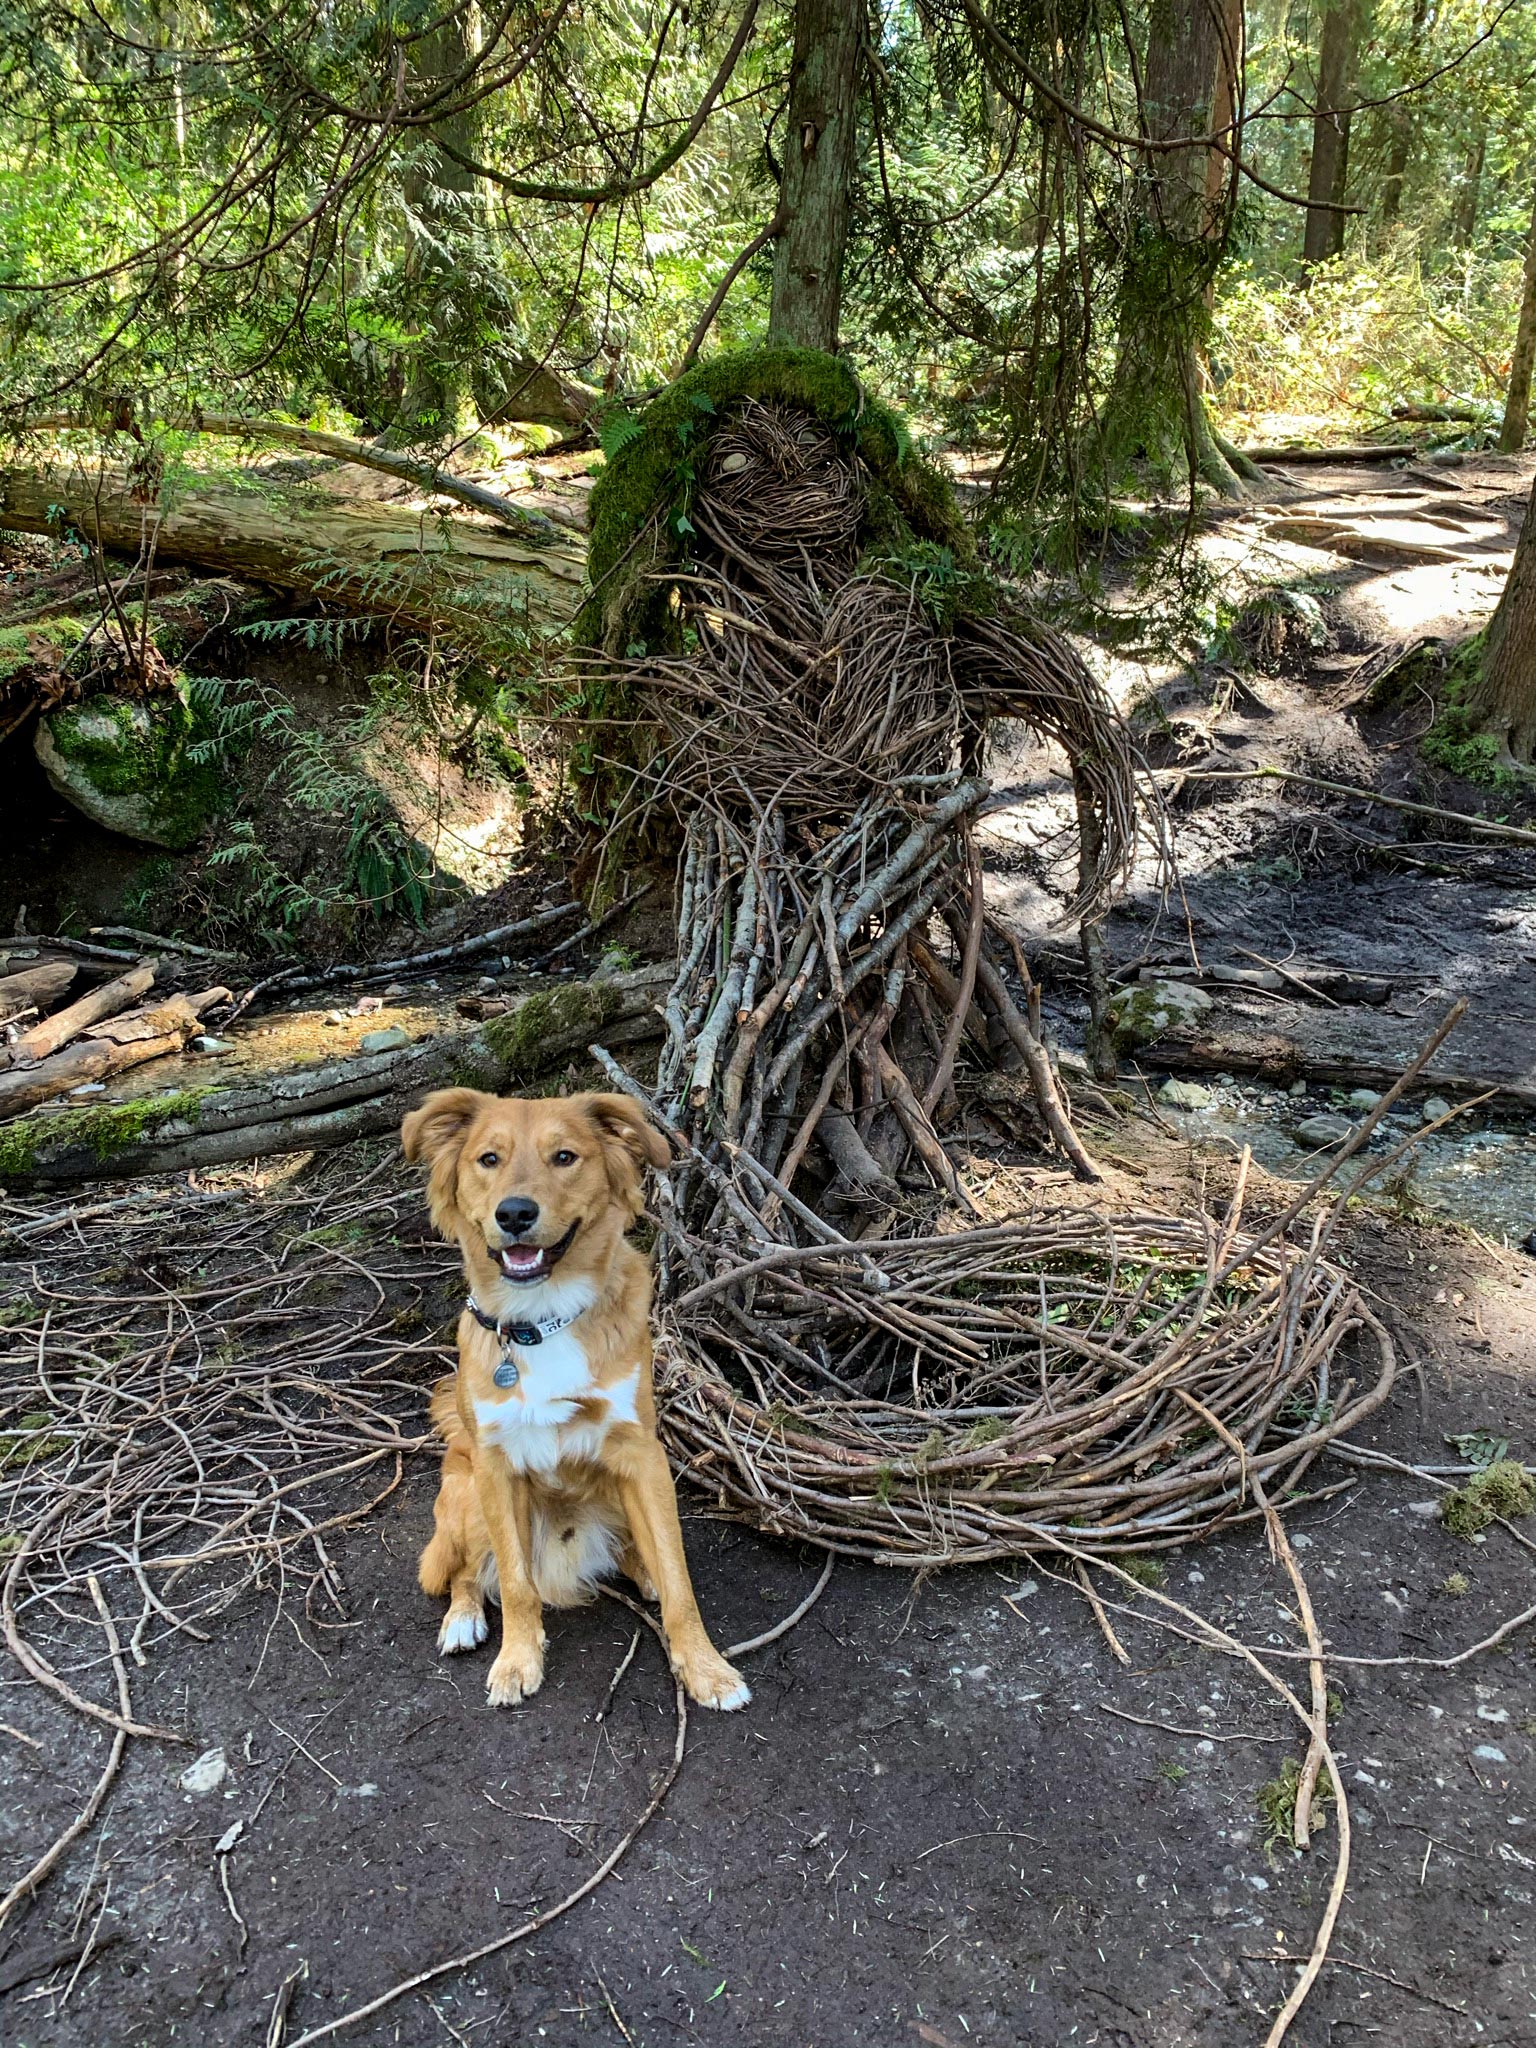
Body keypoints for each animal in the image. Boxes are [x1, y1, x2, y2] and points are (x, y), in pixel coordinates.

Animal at [403, 1089, 753, 1712]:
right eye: (488, 1159)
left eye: (564, 1157)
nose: (514, 1214)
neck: (541, 1319)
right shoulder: (495, 1467)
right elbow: (516, 1583)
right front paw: (517, 1661)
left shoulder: (642, 1455)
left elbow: (680, 1579)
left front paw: (704, 1667)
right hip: (466, 1492)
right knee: (469, 1572)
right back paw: (463, 1618)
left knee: (637, 1549)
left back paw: (642, 1570)